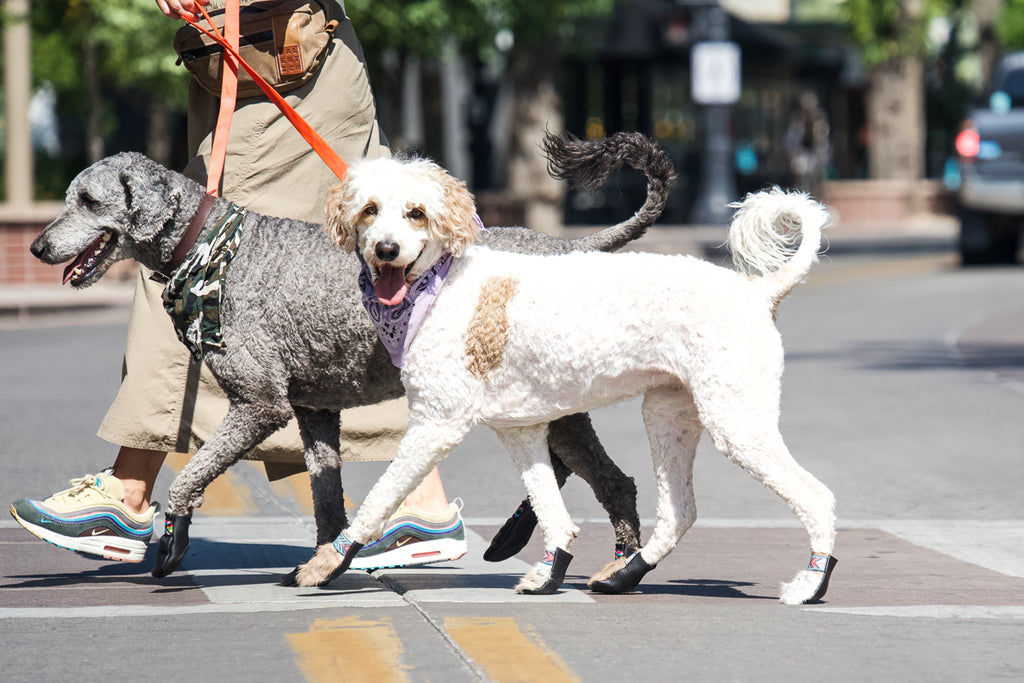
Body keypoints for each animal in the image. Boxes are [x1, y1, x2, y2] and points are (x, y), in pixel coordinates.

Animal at [29, 132, 671, 581]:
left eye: (88, 200)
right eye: (68, 197)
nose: (36, 245)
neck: (215, 251)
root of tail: (570, 246)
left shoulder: (260, 404)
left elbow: (192, 473)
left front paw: (173, 541)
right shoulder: (314, 412)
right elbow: (326, 501)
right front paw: (327, 562)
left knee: (610, 481)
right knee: (612, 482)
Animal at [294, 154, 831, 602]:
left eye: (416, 213)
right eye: (369, 210)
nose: (386, 249)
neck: (442, 285)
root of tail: (757, 291)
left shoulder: (436, 424)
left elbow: (380, 496)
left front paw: (329, 560)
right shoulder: (522, 429)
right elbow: (549, 505)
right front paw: (550, 572)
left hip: (735, 421)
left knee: (817, 496)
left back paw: (811, 583)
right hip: (669, 415)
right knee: (681, 510)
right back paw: (625, 574)